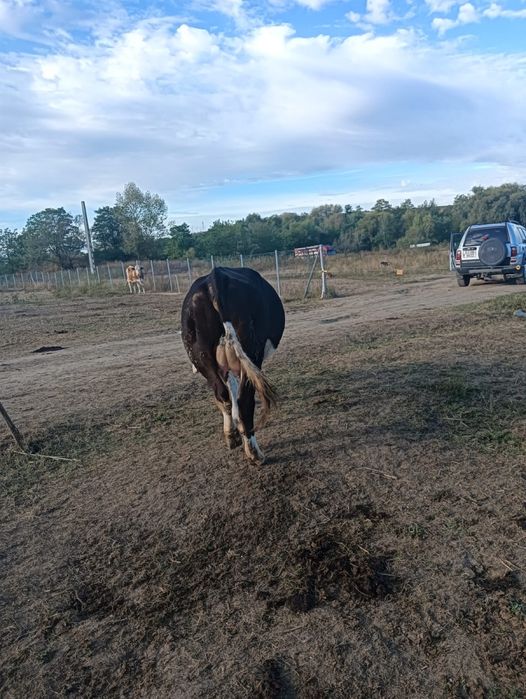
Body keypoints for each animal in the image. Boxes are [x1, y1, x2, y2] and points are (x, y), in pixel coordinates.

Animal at [181, 267, 285, 464]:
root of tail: (215, 280)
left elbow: (230, 391)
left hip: (202, 358)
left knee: (222, 395)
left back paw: (231, 436)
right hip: (251, 352)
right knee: (244, 400)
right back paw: (255, 453)